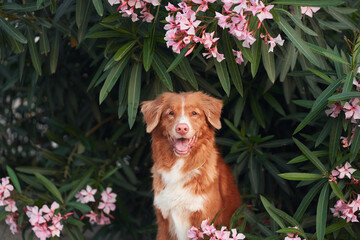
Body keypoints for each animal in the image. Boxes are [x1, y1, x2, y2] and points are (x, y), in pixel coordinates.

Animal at [141, 91, 242, 239]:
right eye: (170, 113)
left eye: (194, 113)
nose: (182, 128)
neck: (179, 165)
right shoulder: (163, 223)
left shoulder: (205, 221)